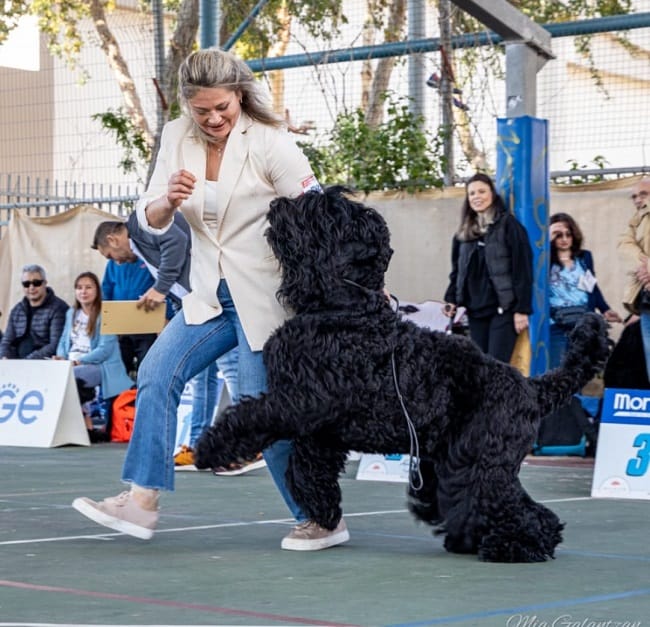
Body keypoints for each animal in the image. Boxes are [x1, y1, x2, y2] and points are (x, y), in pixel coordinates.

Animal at [196, 186, 608, 564]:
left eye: (328, 213)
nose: (282, 202)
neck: (346, 309)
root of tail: (530, 387)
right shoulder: (321, 426)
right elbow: (308, 467)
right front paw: (324, 509)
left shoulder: (300, 402)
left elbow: (249, 416)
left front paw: (209, 448)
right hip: (454, 462)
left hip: (482, 463)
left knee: (514, 506)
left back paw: (517, 545)